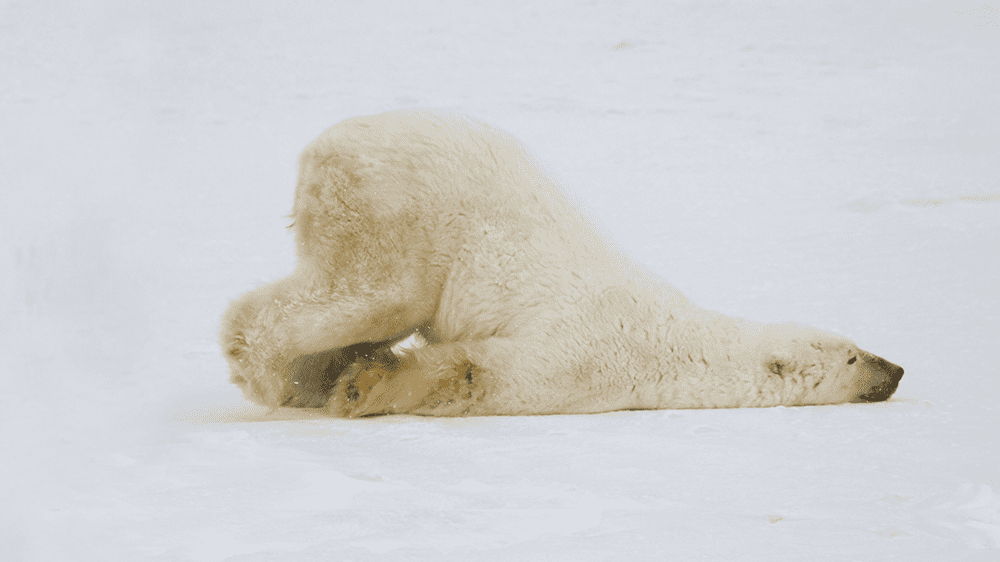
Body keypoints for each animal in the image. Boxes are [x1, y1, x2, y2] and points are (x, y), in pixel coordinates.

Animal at [219, 110, 903, 417]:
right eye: (851, 355)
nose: (895, 369)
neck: (676, 340)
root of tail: (330, 139)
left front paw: (356, 380)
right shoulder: (584, 354)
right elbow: (481, 374)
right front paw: (366, 387)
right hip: (399, 213)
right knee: (369, 294)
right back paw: (272, 374)